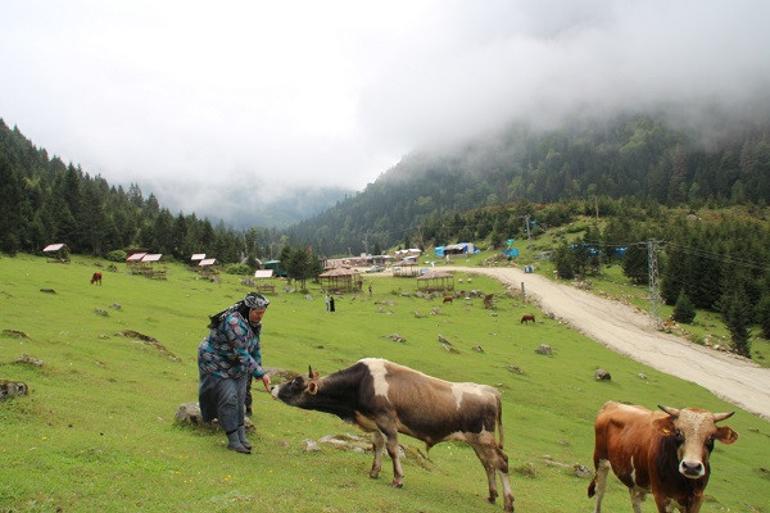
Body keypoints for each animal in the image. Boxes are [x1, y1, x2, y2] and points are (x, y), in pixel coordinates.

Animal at [272, 358, 512, 510]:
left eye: (294, 383)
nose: (273, 388)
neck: (360, 384)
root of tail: (491, 391)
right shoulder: (375, 424)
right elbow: (377, 446)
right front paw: (374, 472)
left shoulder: (387, 421)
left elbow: (393, 450)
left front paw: (397, 479)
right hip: (477, 441)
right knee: (488, 464)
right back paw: (492, 495)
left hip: (483, 438)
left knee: (501, 462)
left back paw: (508, 502)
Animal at [588, 402, 736, 510]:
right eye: (678, 433)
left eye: (711, 438)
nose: (691, 467)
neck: (684, 482)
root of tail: (612, 404)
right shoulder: (661, 496)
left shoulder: (696, 499)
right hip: (600, 462)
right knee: (599, 492)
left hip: (636, 480)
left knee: (635, 500)